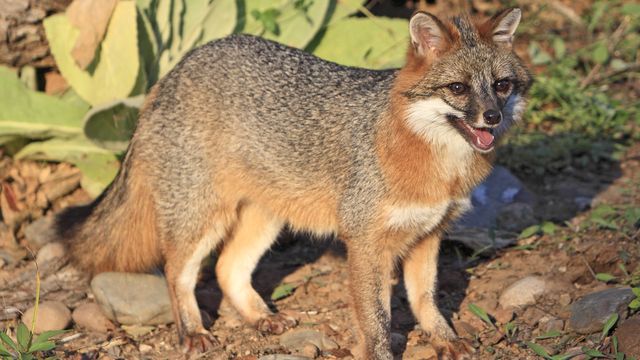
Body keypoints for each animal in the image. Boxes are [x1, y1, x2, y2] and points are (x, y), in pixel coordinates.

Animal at [53, 7, 528, 358]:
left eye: (501, 85)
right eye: (458, 88)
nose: (492, 117)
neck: (440, 166)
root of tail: (175, 70)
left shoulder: (429, 235)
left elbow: (425, 299)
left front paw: (444, 339)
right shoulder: (365, 242)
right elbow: (376, 320)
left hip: (265, 219)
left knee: (227, 268)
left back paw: (261, 317)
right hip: (202, 218)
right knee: (178, 272)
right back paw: (192, 330)